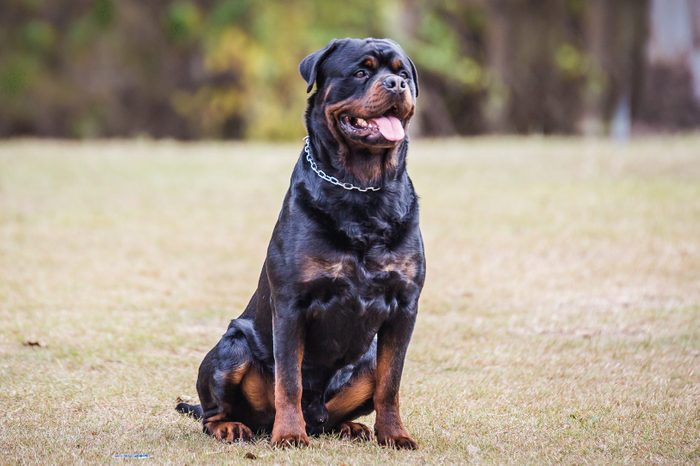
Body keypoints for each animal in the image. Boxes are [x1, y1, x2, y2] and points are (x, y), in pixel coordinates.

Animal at [178, 38, 424, 450]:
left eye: (402, 73)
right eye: (361, 71)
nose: (395, 84)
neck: (361, 188)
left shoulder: (404, 306)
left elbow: (391, 384)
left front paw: (394, 435)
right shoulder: (292, 303)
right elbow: (289, 380)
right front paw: (291, 434)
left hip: (365, 360)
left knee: (343, 408)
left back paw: (349, 427)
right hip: (233, 349)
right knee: (214, 412)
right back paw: (233, 427)